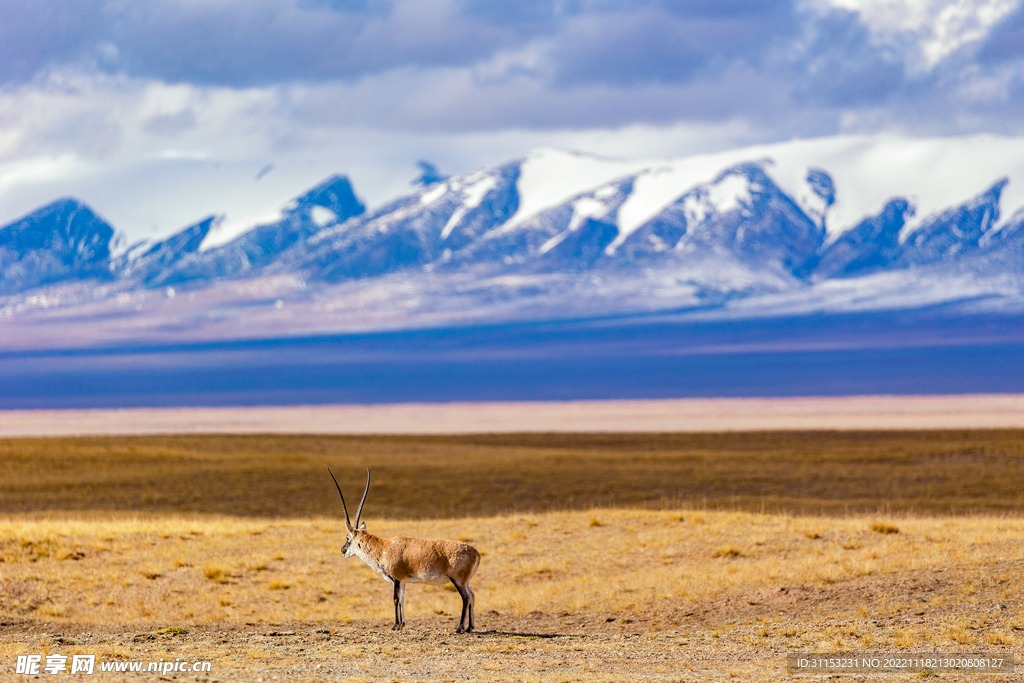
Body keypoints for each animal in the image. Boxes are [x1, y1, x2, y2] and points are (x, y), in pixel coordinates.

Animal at [325, 466, 481, 634]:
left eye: (347, 537)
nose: (342, 550)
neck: (383, 547)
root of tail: (475, 553)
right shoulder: (404, 581)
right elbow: (402, 599)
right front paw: (402, 624)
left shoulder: (396, 579)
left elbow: (395, 599)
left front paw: (395, 625)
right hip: (465, 581)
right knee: (472, 595)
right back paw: (470, 627)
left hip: (457, 580)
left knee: (466, 597)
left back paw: (460, 628)